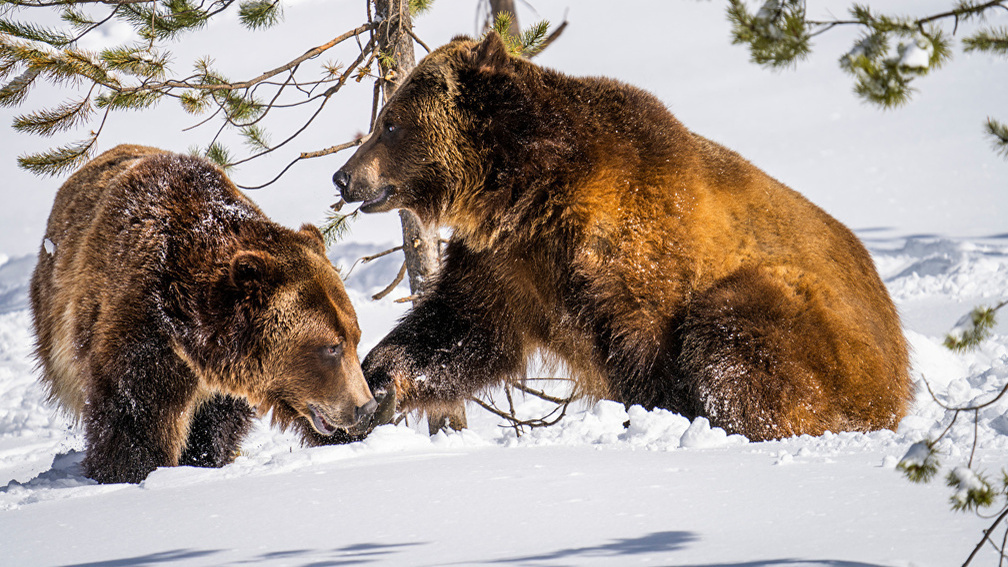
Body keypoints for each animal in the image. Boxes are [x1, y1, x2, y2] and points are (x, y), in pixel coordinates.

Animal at [33, 145, 379, 480]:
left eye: (355, 337)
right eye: (331, 347)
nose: (366, 407)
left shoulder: (225, 381)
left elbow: (215, 426)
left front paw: (203, 459)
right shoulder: (143, 331)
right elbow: (134, 418)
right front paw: (132, 471)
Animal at [332, 32, 915, 441]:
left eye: (390, 123)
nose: (342, 176)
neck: (528, 191)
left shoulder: (636, 252)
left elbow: (649, 349)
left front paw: (656, 416)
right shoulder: (506, 261)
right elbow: (457, 329)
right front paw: (375, 385)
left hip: (817, 325)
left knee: (736, 331)